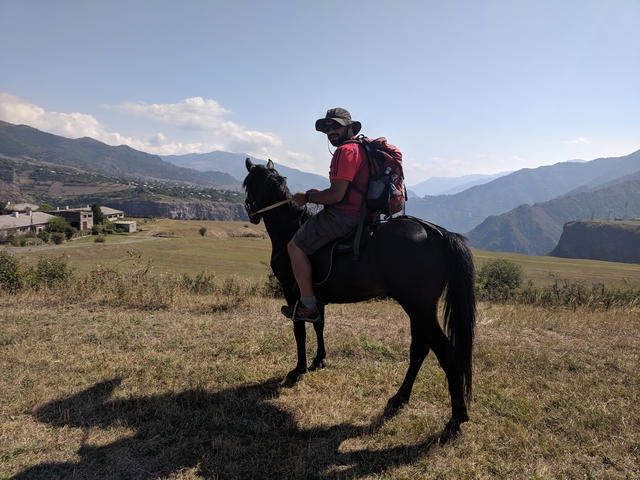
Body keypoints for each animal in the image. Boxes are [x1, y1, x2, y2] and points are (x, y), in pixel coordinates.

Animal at [243, 158, 476, 434]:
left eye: (247, 185)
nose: (250, 213)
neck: (289, 229)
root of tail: (437, 233)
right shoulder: (316, 297)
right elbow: (319, 324)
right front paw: (319, 360)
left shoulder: (292, 292)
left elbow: (300, 330)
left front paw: (298, 369)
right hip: (419, 310)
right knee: (419, 349)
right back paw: (400, 398)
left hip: (419, 310)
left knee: (445, 352)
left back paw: (456, 418)